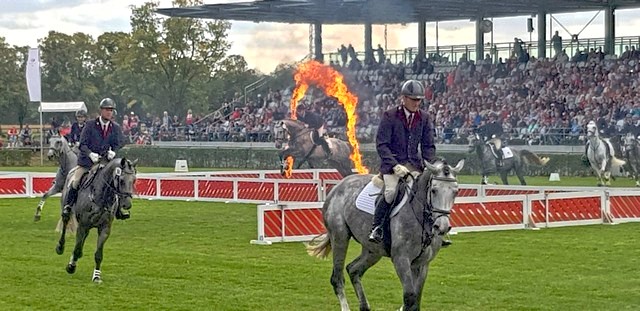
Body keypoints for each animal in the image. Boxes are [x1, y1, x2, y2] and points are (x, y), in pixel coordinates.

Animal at [306, 160, 462, 310]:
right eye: (434, 190)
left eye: (455, 192)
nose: (442, 227)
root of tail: (338, 186)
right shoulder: (401, 259)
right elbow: (409, 298)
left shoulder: (422, 263)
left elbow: (416, 300)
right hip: (340, 238)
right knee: (337, 279)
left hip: (373, 251)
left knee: (353, 270)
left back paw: (364, 306)